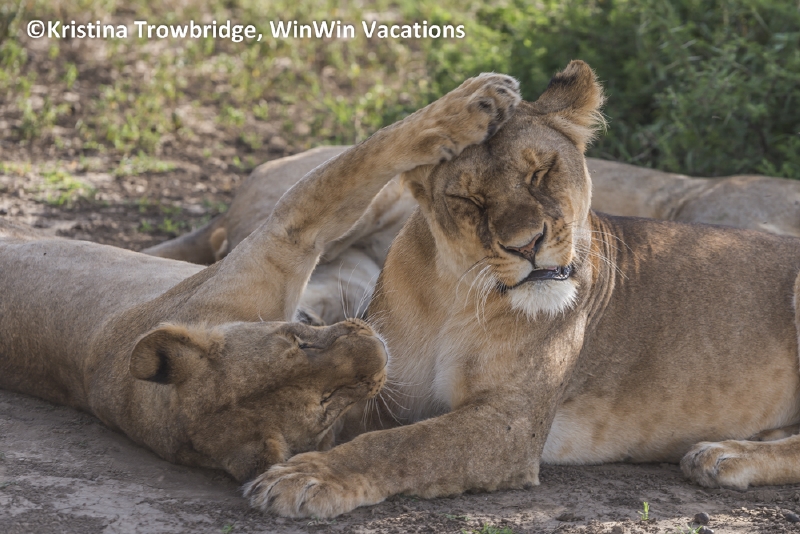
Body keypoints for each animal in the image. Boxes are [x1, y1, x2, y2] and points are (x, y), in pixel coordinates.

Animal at [0, 72, 521, 483]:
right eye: (326, 401)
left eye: (299, 341)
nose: (375, 346)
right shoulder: (291, 234)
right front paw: (477, 104)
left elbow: (364, 156)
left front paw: (478, 101)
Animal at [242, 60, 800, 518]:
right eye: (469, 198)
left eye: (540, 172)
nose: (527, 244)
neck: (457, 296)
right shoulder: (383, 386)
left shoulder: (512, 421)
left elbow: (404, 445)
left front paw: (307, 477)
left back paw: (725, 455)